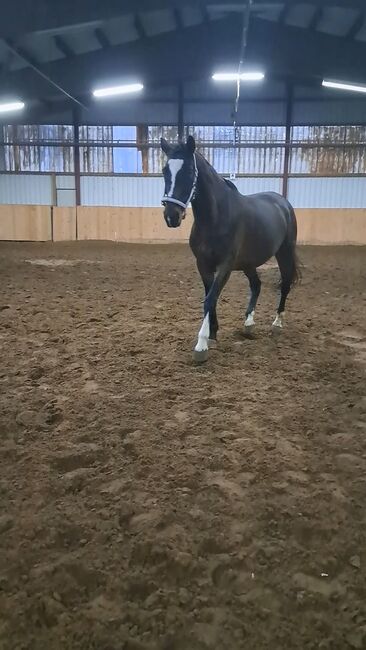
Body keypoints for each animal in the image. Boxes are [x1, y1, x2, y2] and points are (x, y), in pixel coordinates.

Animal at [162, 134, 298, 362]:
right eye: (165, 171)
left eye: (188, 171)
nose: (171, 216)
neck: (215, 218)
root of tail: (283, 202)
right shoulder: (203, 265)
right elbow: (211, 297)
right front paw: (213, 335)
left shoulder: (225, 266)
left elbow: (209, 300)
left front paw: (201, 346)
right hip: (249, 263)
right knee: (256, 285)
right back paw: (249, 324)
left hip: (284, 253)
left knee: (286, 284)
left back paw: (277, 323)